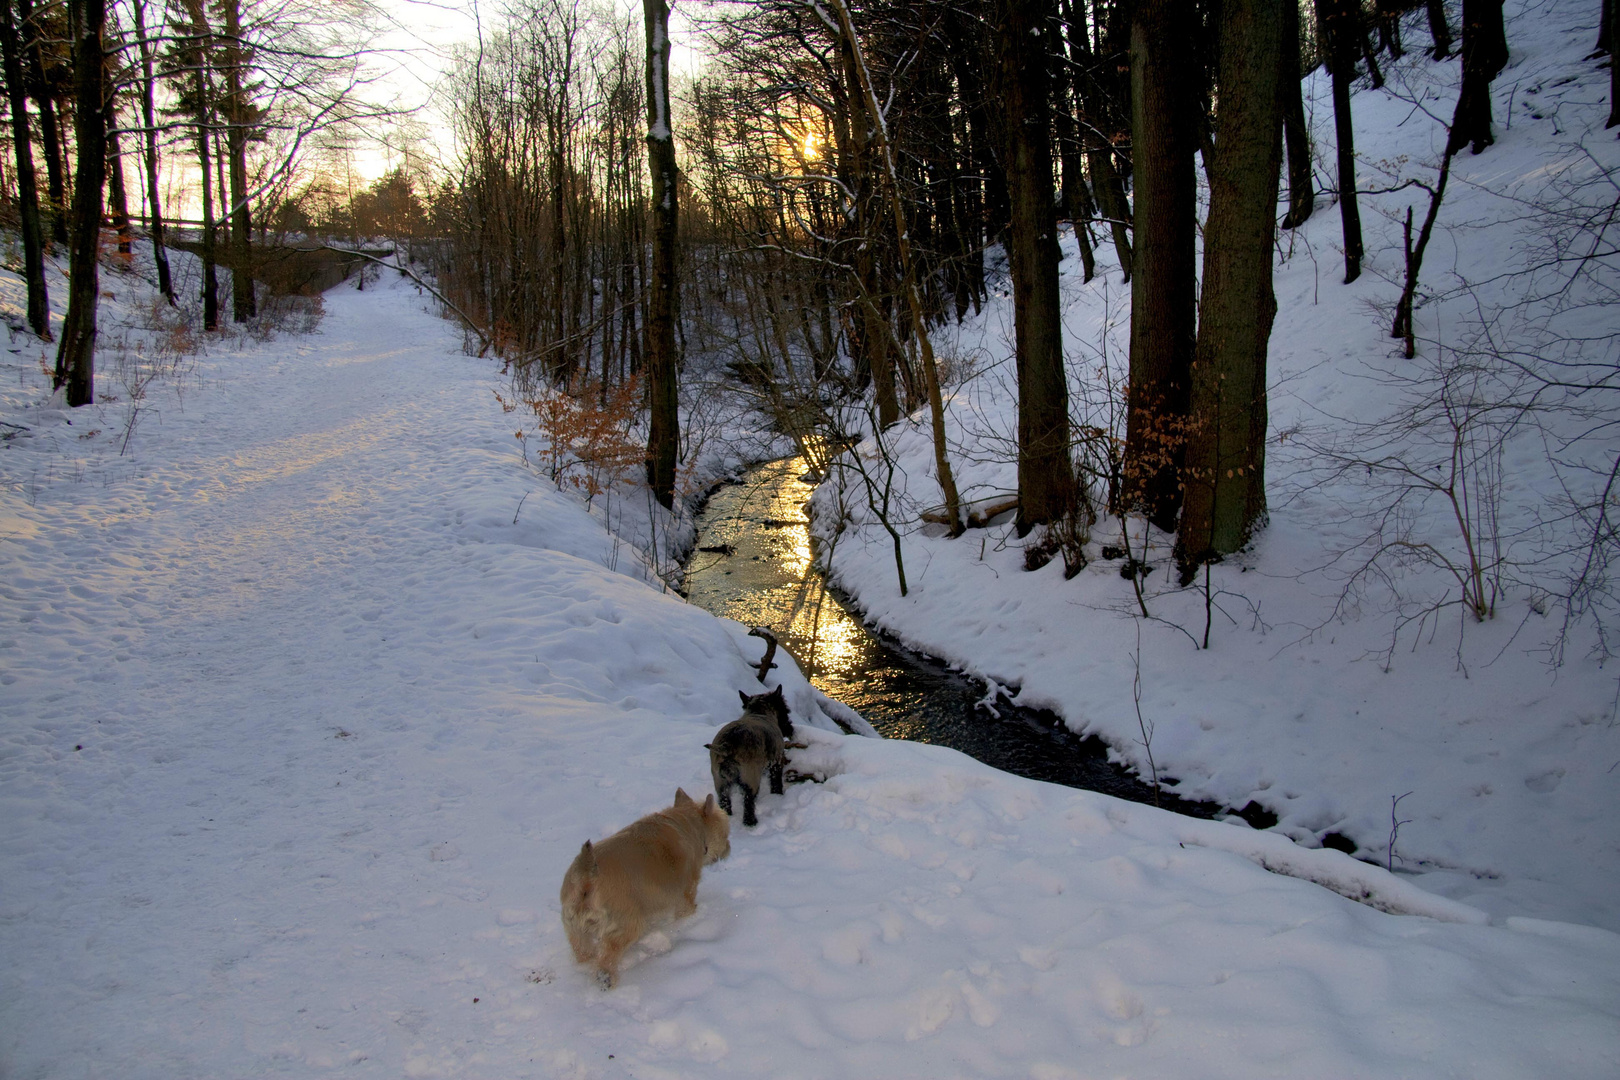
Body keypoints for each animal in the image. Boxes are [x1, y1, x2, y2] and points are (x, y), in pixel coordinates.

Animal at [560, 786, 732, 990]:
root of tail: (586, 878)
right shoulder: (686, 893)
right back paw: (607, 979)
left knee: (583, 951)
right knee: (608, 956)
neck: (689, 823)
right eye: (726, 834)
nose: (729, 848)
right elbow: (686, 911)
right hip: (627, 925)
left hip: (575, 929)